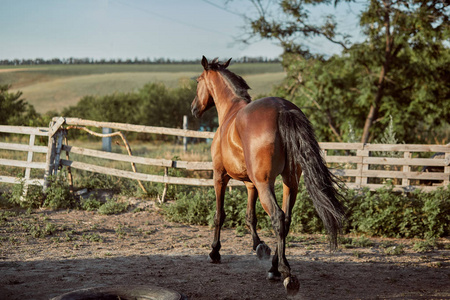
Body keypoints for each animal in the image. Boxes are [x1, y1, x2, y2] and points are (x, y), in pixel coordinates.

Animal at [191, 56, 344, 296]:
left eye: (198, 81)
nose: (194, 108)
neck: (231, 112)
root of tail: (283, 109)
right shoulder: (251, 184)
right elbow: (250, 216)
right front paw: (259, 246)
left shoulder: (220, 177)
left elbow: (219, 215)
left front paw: (214, 252)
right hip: (290, 183)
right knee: (286, 220)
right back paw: (274, 268)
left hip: (266, 184)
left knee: (278, 217)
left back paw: (286, 274)